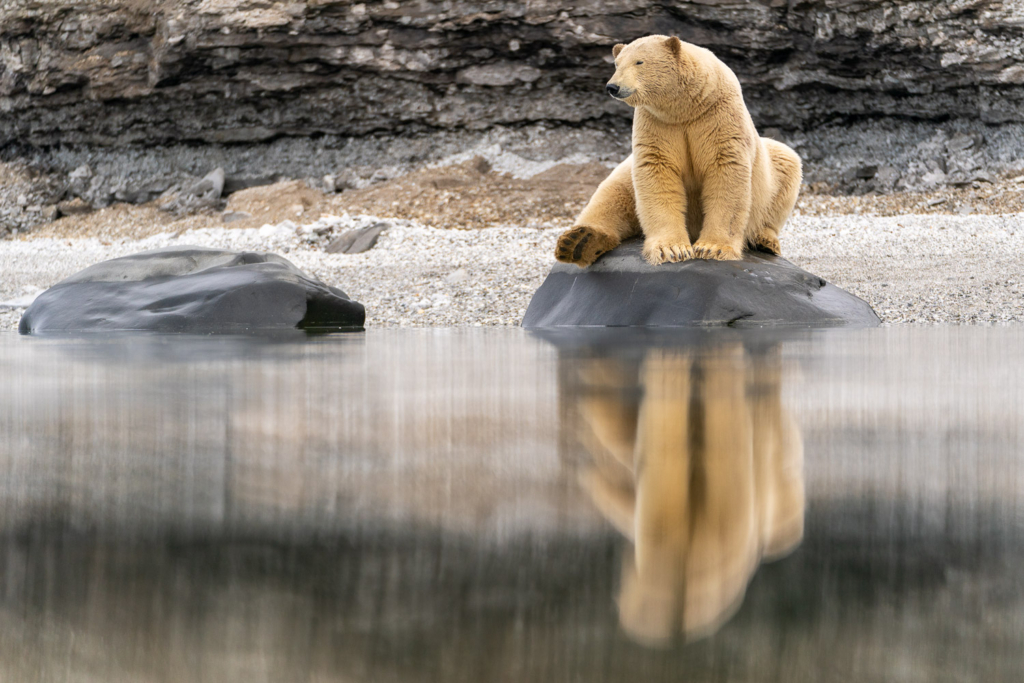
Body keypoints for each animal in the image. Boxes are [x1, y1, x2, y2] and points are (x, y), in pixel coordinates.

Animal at [557, 35, 802, 266]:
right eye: (616, 64)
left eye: (639, 61)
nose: (613, 87)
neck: (686, 108)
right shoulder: (656, 123)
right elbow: (657, 172)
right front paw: (671, 249)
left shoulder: (718, 116)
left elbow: (725, 172)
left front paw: (712, 248)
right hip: (625, 173)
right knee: (610, 197)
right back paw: (578, 242)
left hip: (772, 169)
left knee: (786, 170)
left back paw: (765, 240)